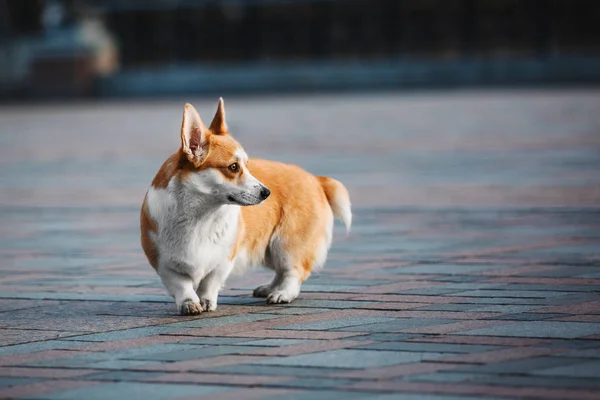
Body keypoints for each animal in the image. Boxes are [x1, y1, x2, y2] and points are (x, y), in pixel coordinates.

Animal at [141, 98, 352, 314]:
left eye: (247, 165)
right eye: (234, 167)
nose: (267, 193)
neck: (200, 215)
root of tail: (315, 179)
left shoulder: (224, 259)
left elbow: (210, 282)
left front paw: (206, 301)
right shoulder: (164, 264)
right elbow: (182, 285)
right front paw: (190, 303)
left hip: (285, 244)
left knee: (293, 271)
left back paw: (282, 294)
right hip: (270, 249)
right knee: (281, 271)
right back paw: (268, 288)